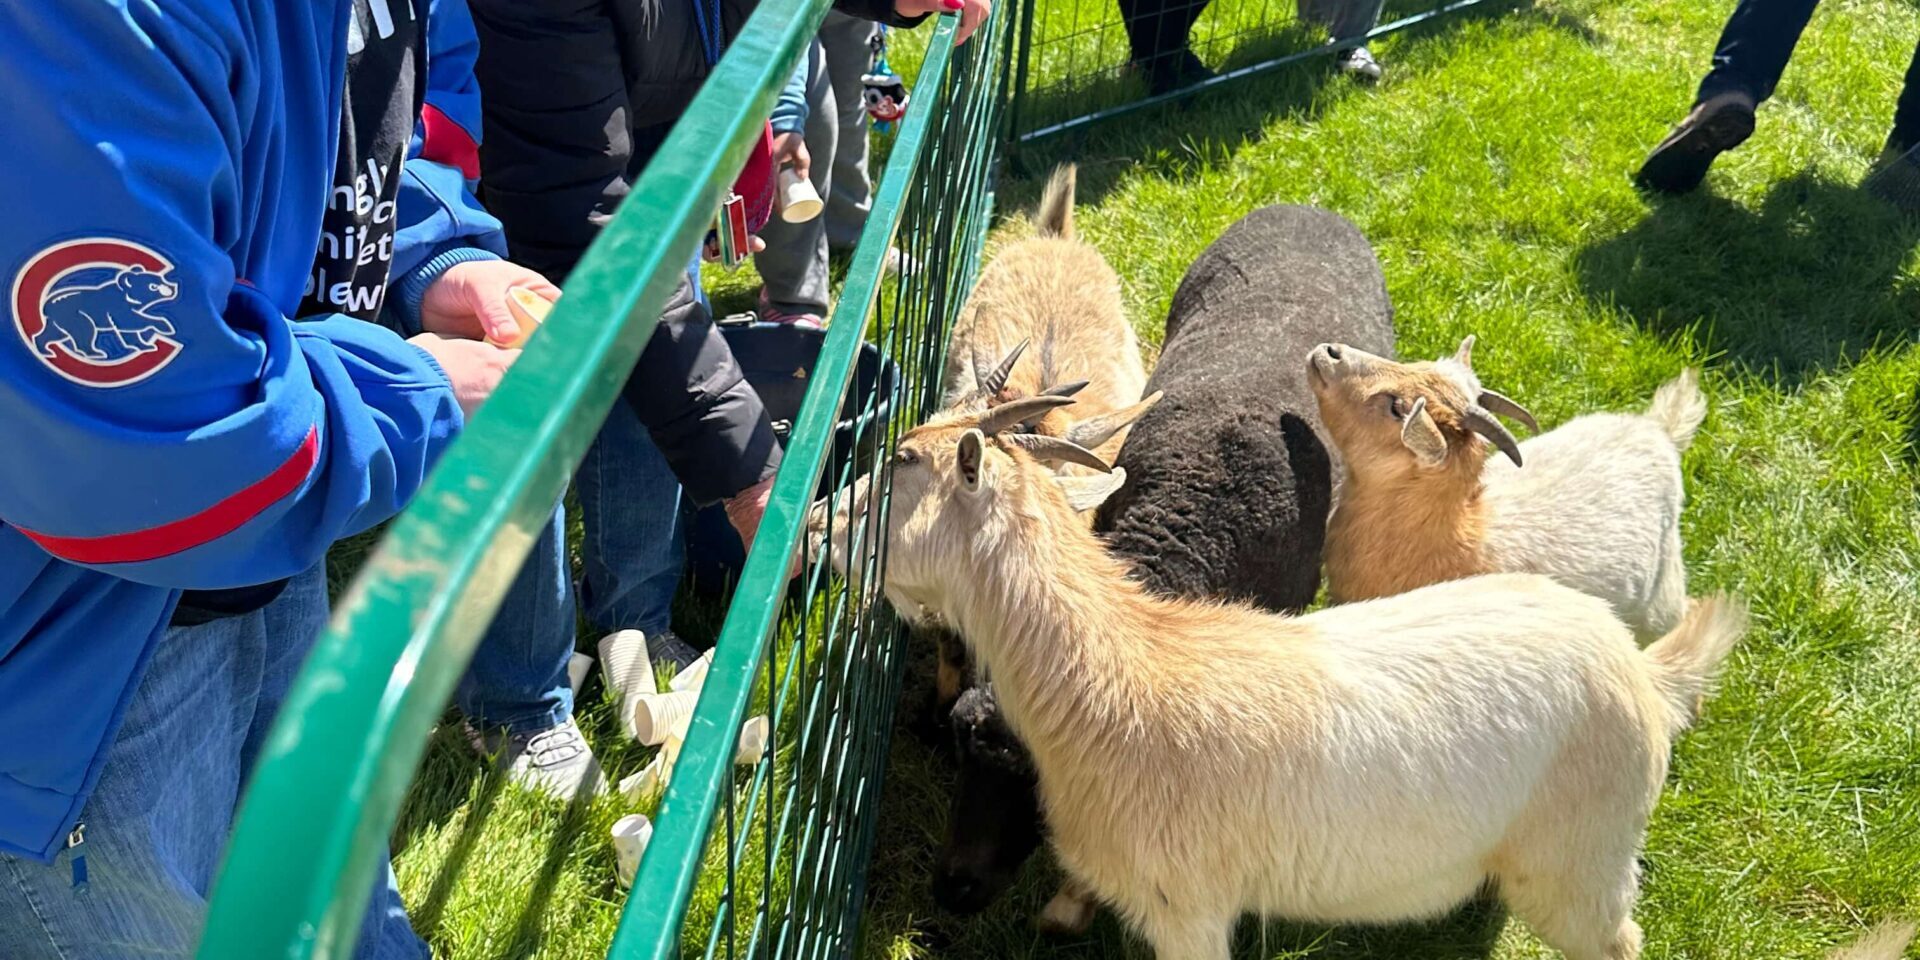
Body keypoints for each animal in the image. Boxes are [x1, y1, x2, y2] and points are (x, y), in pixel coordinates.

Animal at [813, 399, 1745, 960]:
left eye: (902, 462)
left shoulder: (1189, 910)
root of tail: (1646, 674)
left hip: (1584, 855)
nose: (817, 526)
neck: (1121, 679)